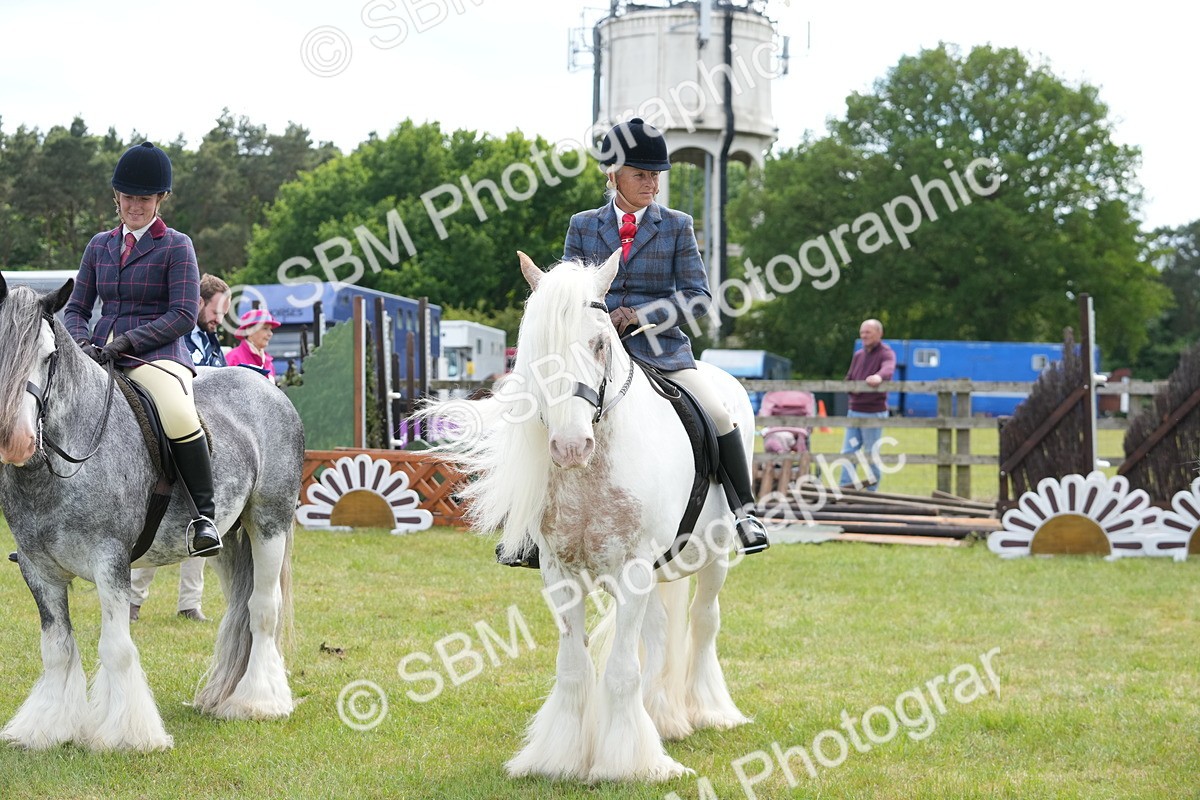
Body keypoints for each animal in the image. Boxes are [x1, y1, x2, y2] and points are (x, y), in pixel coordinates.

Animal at [0, 274, 303, 751]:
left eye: (48, 356)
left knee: (262, 608)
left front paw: (128, 735)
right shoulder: (37, 568)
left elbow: (117, 648)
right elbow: (57, 648)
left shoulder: (110, 562)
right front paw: (46, 728)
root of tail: (267, 387)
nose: (16, 439)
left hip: (269, 523)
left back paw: (258, 701)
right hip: (231, 538)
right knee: (241, 607)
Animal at [422, 251, 752, 782]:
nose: (571, 446)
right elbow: (574, 667)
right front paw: (558, 758)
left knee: (704, 621)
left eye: (599, 344)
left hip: (716, 554)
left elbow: (620, 670)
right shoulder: (561, 573)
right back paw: (663, 719)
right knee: (661, 630)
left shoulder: (633, 569)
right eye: (537, 350)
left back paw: (710, 711)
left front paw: (626, 765)